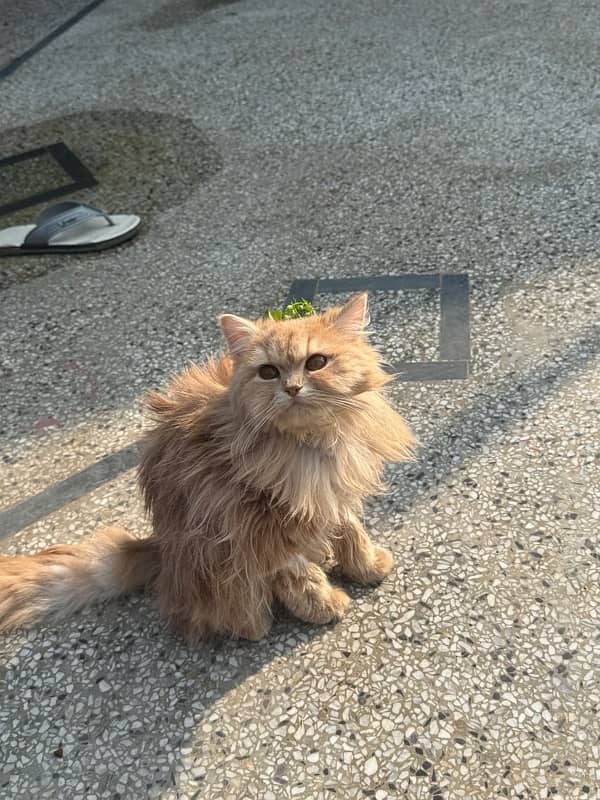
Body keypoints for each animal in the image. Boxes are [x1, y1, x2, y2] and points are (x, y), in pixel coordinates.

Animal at [0, 292, 418, 636]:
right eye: (269, 372)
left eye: (316, 363)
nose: (293, 388)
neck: (308, 448)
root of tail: (161, 549)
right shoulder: (254, 523)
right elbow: (298, 573)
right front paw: (324, 605)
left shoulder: (331, 492)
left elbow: (352, 531)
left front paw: (366, 566)